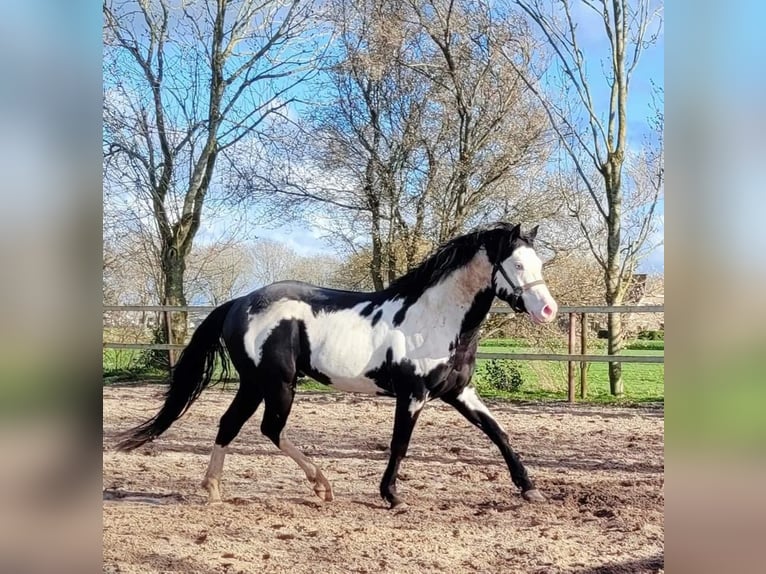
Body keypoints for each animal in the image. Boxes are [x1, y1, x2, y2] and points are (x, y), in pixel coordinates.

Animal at [118, 224, 560, 508]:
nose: (548, 310)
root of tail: (240, 302)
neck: (437, 320)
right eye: (517, 265)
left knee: (231, 424)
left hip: (255, 384)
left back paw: (213, 488)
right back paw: (321, 486)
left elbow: (499, 433)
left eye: (539, 264)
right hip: (277, 383)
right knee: (269, 429)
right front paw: (392, 496)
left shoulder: (459, 392)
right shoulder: (413, 394)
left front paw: (529, 488)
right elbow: (400, 444)